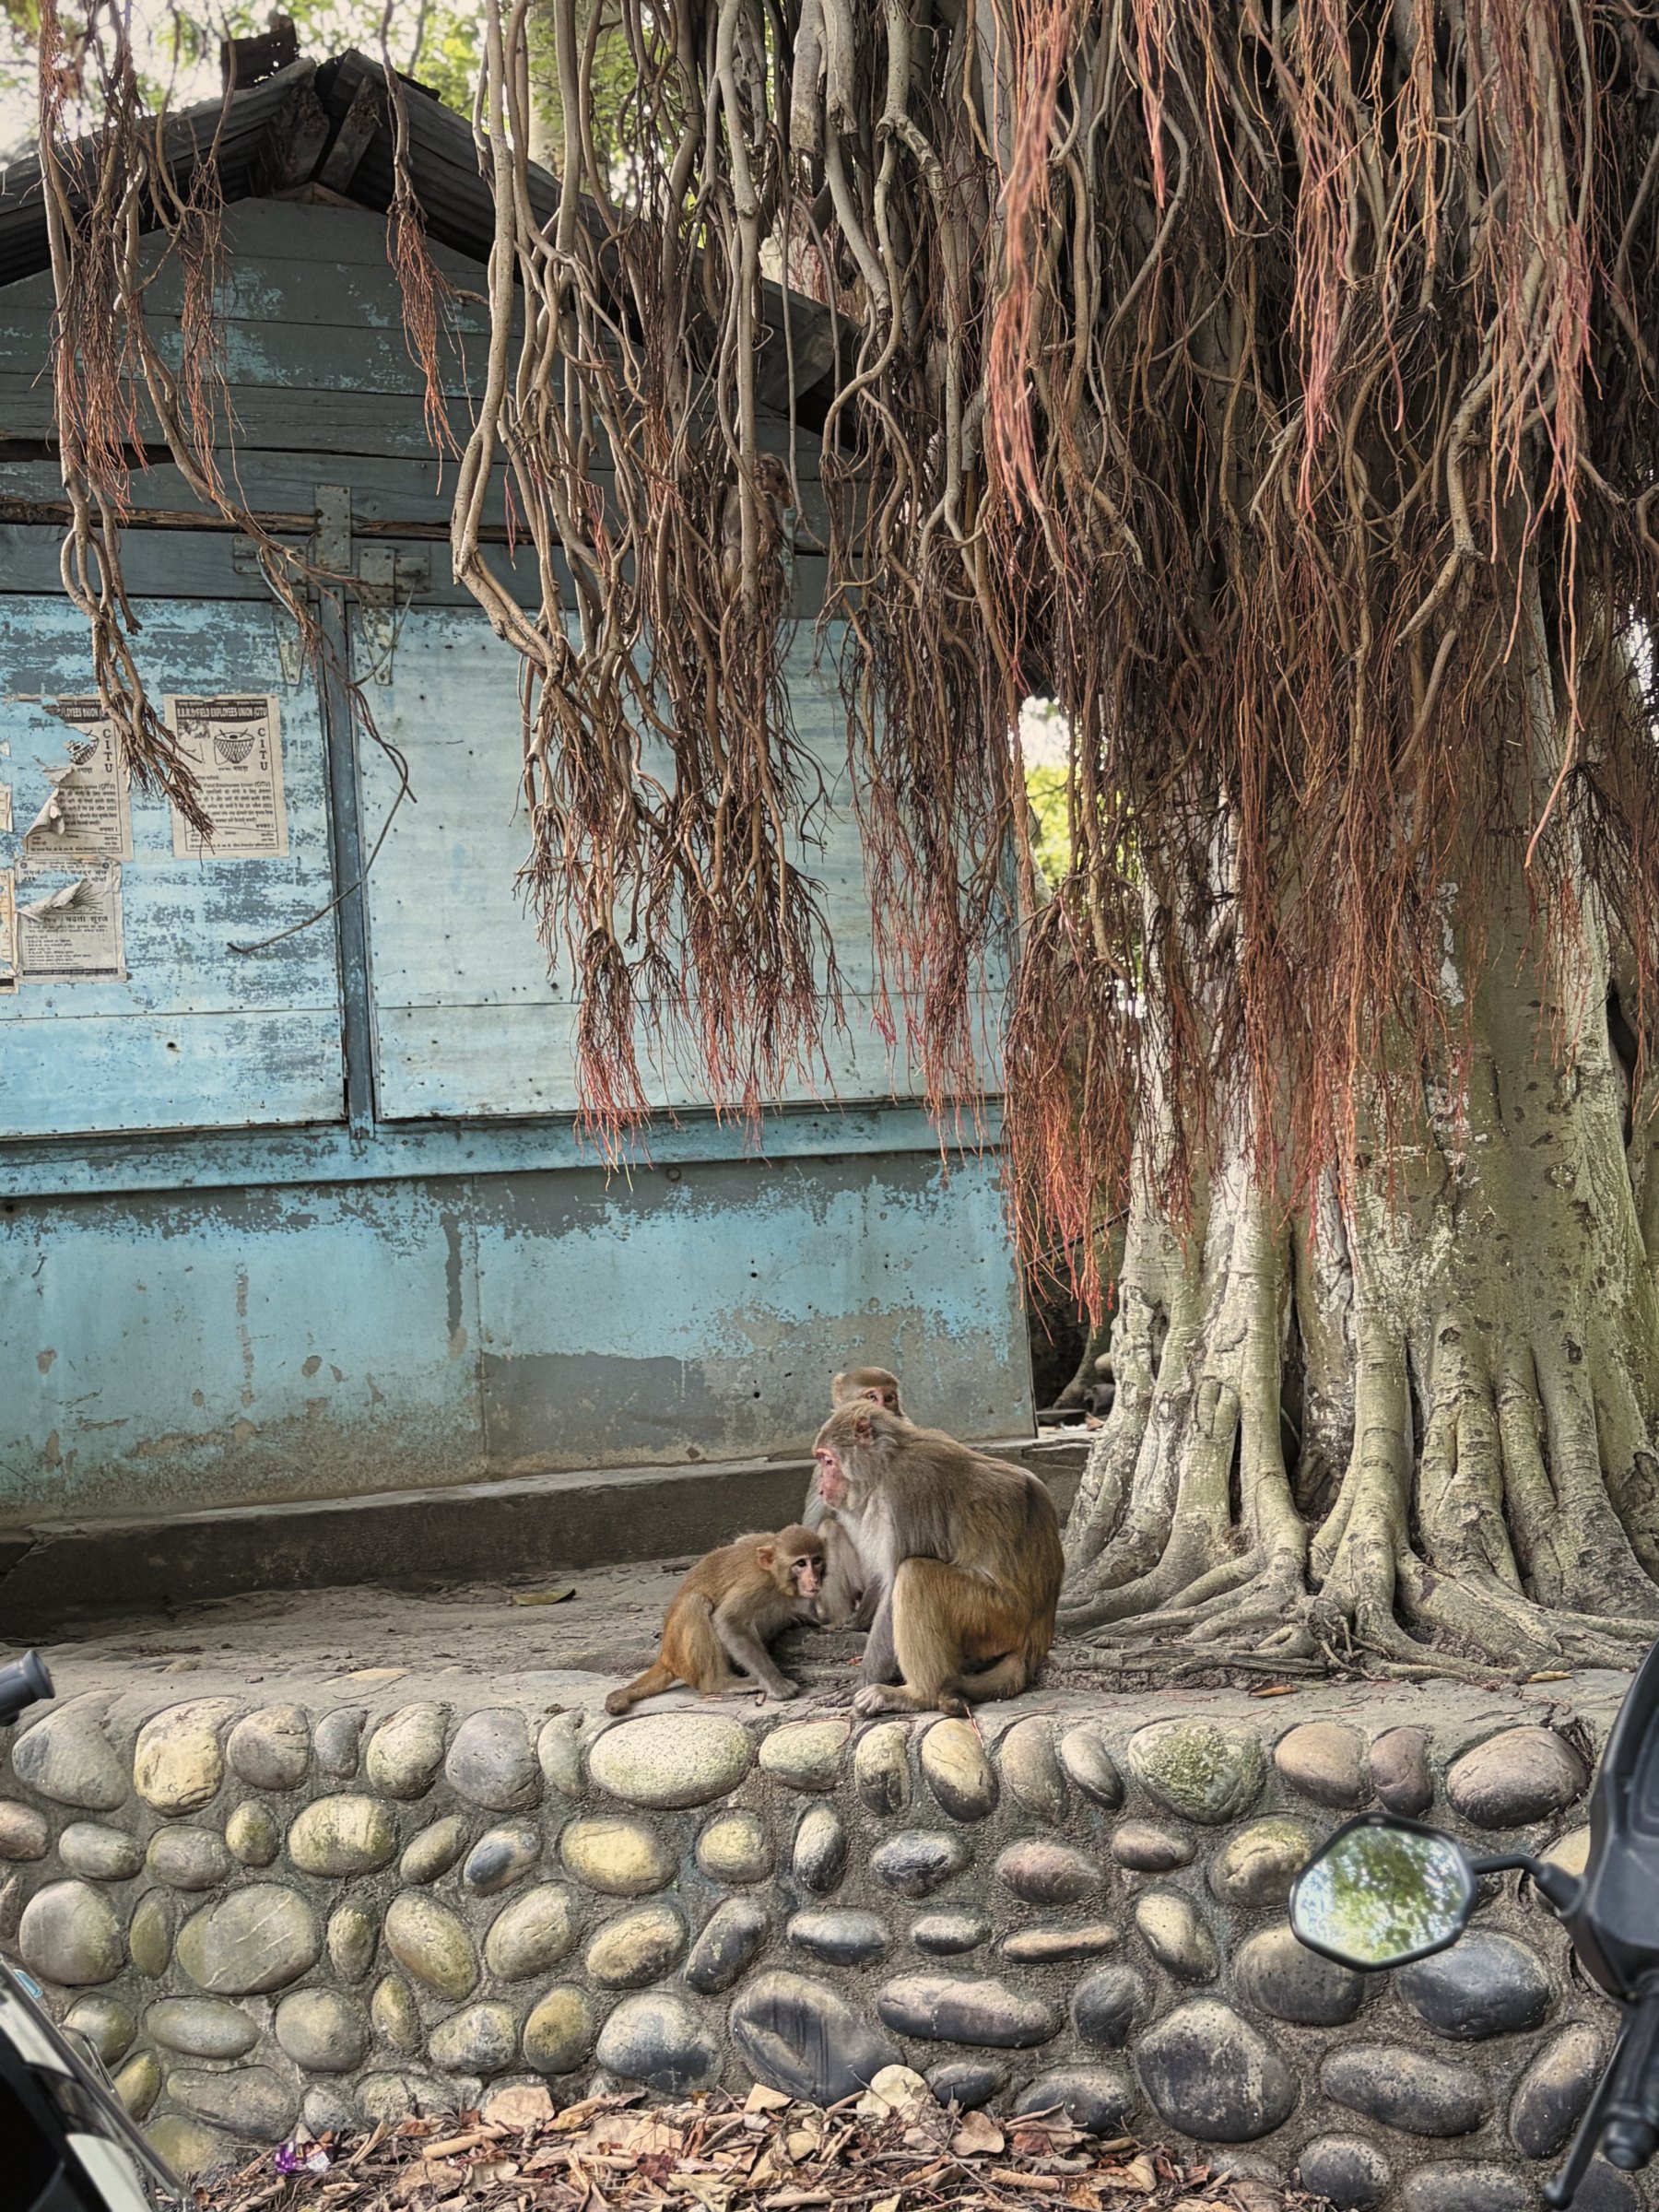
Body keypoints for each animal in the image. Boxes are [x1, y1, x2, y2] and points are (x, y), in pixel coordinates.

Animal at [604, 1526, 826, 1714]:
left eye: (816, 1561)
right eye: (800, 1564)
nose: (814, 1579)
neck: (774, 1576)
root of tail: (666, 1657)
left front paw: (800, 1616)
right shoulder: (756, 1585)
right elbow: (728, 1621)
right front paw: (777, 1685)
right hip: (683, 1655)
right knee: (696, 1602)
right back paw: (720, 1683)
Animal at [810, 1402, 1064, 1717]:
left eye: (828, 1461)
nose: (821, 1488)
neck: (887, 1463)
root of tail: (1039, 1629)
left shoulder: (906, 1493)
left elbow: (893, 1588)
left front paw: (863, 1680)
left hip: (997, 1616)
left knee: (915, 1575)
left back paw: (918, 1695)